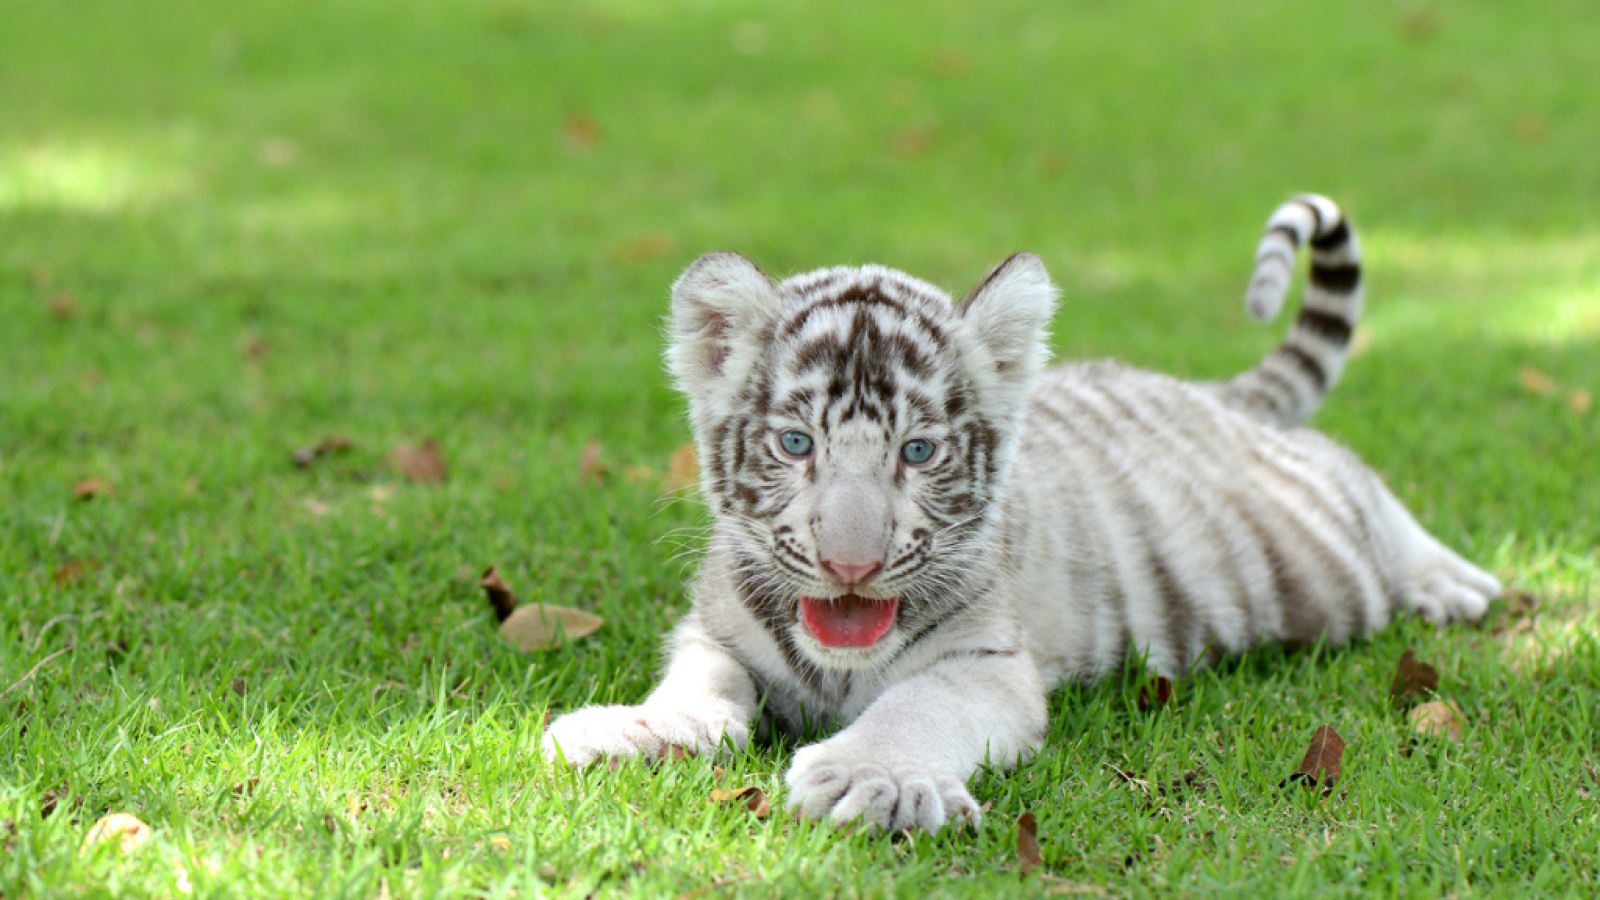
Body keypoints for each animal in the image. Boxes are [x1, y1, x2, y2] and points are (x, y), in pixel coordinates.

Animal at [541, 195, 1500, 834]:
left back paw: (1453, 583)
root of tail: (1199, 390)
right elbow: (699, 688)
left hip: (1323, 551)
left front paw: (872, 779)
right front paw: (629, 728)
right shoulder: (714, 633)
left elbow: (915, 708)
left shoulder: (987, 664)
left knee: (1356, 473)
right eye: (795, 443)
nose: (852, 565)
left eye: (918, 452)